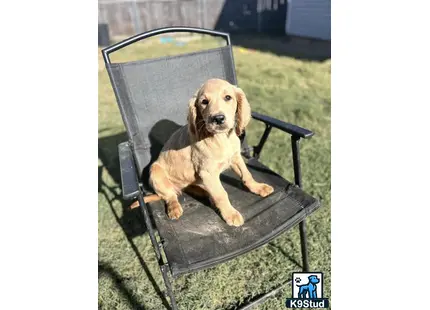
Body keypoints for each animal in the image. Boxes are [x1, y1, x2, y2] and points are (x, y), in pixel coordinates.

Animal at [136, 78, 274, 226]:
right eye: (204, 102)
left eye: (228, 97)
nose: (218, 118)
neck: (221, 138)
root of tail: (176, 187)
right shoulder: (208, 173)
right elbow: (221, 194)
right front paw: (230, 214)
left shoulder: (235, 158)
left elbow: (247, 175)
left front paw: (258, 187)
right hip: (156, 172)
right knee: (170, 195)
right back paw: (174, 207)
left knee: (187, 188)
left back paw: (204, 193)